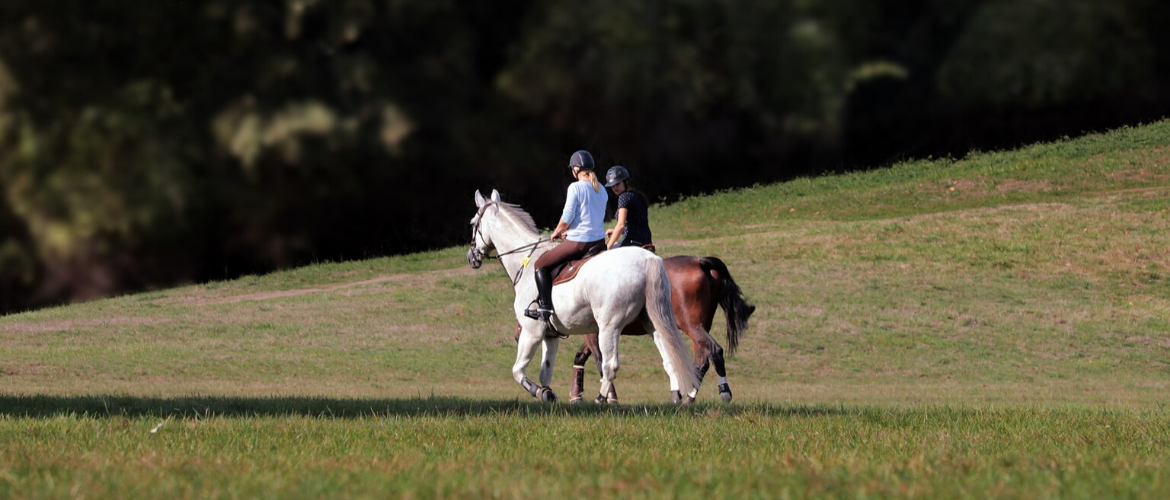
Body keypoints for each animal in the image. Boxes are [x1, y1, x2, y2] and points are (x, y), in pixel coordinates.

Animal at [467, 189, 702, 405]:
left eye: (472, 223)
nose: (471, 258)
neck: (525, 260)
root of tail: (647, 259)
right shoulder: (550, 335)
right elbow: (545, 372)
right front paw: (547, 394)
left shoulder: (531, 332)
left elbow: (518, 371)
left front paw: (538, 392)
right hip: (652, 322)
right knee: (670, 358)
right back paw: (676, 398)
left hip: (609, 326)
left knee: (610, 364)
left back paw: (600, 400)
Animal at [510, 256, 748, 405]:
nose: (516, 333)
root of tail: (700, 261)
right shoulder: (596, 331)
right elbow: (582, 357)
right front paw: (577, 394)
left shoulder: (595, 332)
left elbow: (599, 361)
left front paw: (607, 396)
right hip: (695, 327)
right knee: (700, 358)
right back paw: (688, 394)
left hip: (693, 327)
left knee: (713, 352)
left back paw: (713, 392)